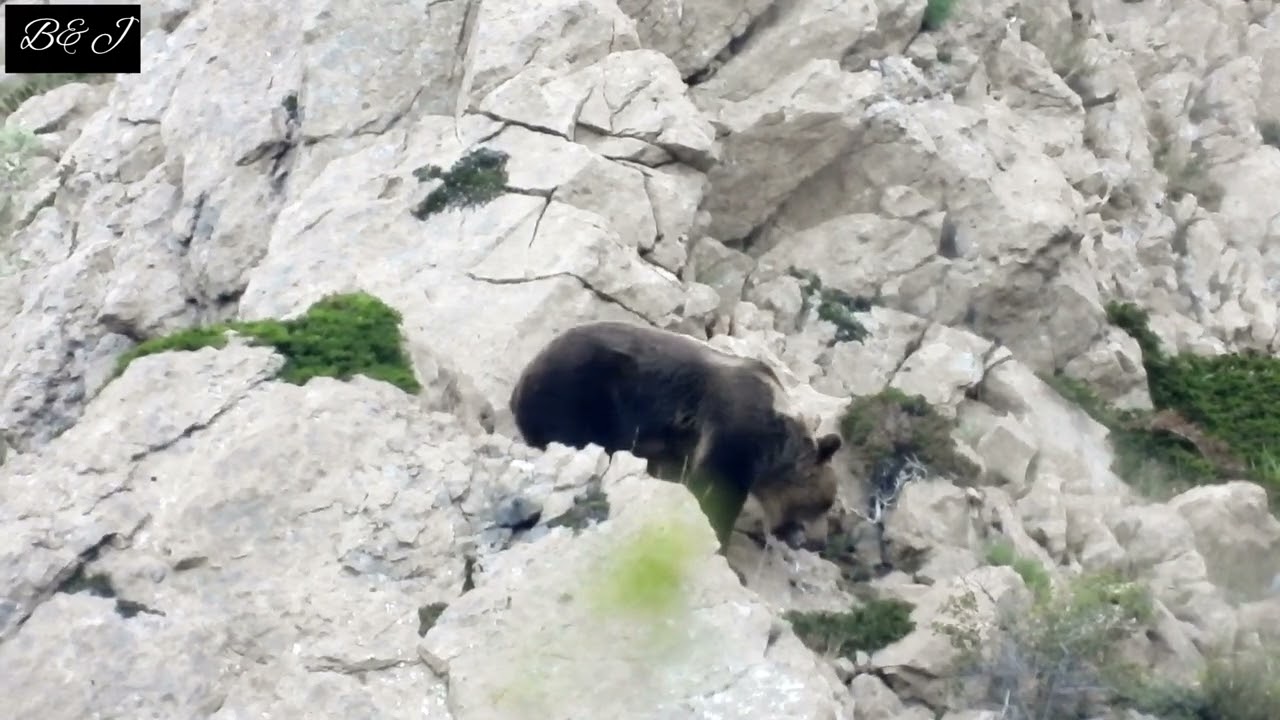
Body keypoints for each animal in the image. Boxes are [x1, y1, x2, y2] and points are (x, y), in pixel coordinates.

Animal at [508, 320, 843, 550]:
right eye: (821, 504)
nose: (819, 542)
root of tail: (521, 380)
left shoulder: (680, 445)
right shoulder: (734, 426)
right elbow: (716, 486)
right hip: (581, 391)